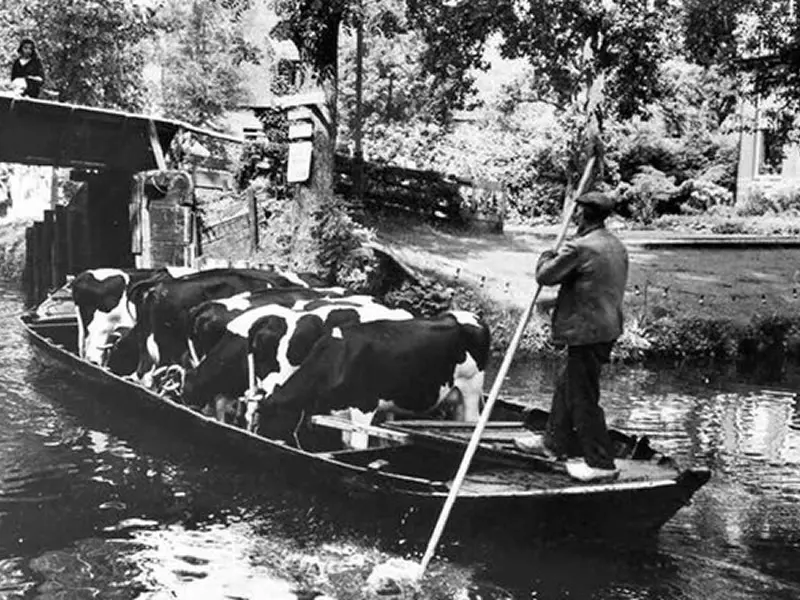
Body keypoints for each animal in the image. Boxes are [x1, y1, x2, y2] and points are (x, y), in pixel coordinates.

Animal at [253, 312, 490, 442]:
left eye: (264, 420)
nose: (258, 439)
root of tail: (474, 317)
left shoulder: (363, 407)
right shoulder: (340, 410)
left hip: (471, 388)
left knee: (471, 420)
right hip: (456, 397)